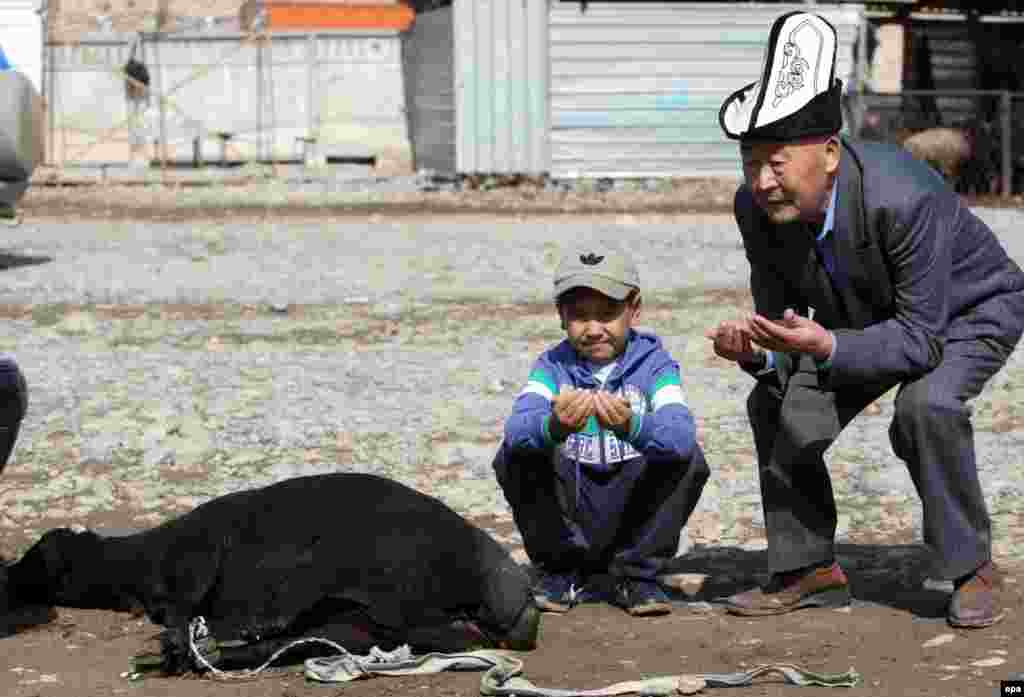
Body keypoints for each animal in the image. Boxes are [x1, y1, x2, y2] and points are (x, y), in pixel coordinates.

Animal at [0, 472, 540, 675]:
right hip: (367, 618)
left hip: (380, 587)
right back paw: (222, 651)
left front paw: (177, 644)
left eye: (39, 555)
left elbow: (183, 605)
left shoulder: (197, 552)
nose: (7, 577)